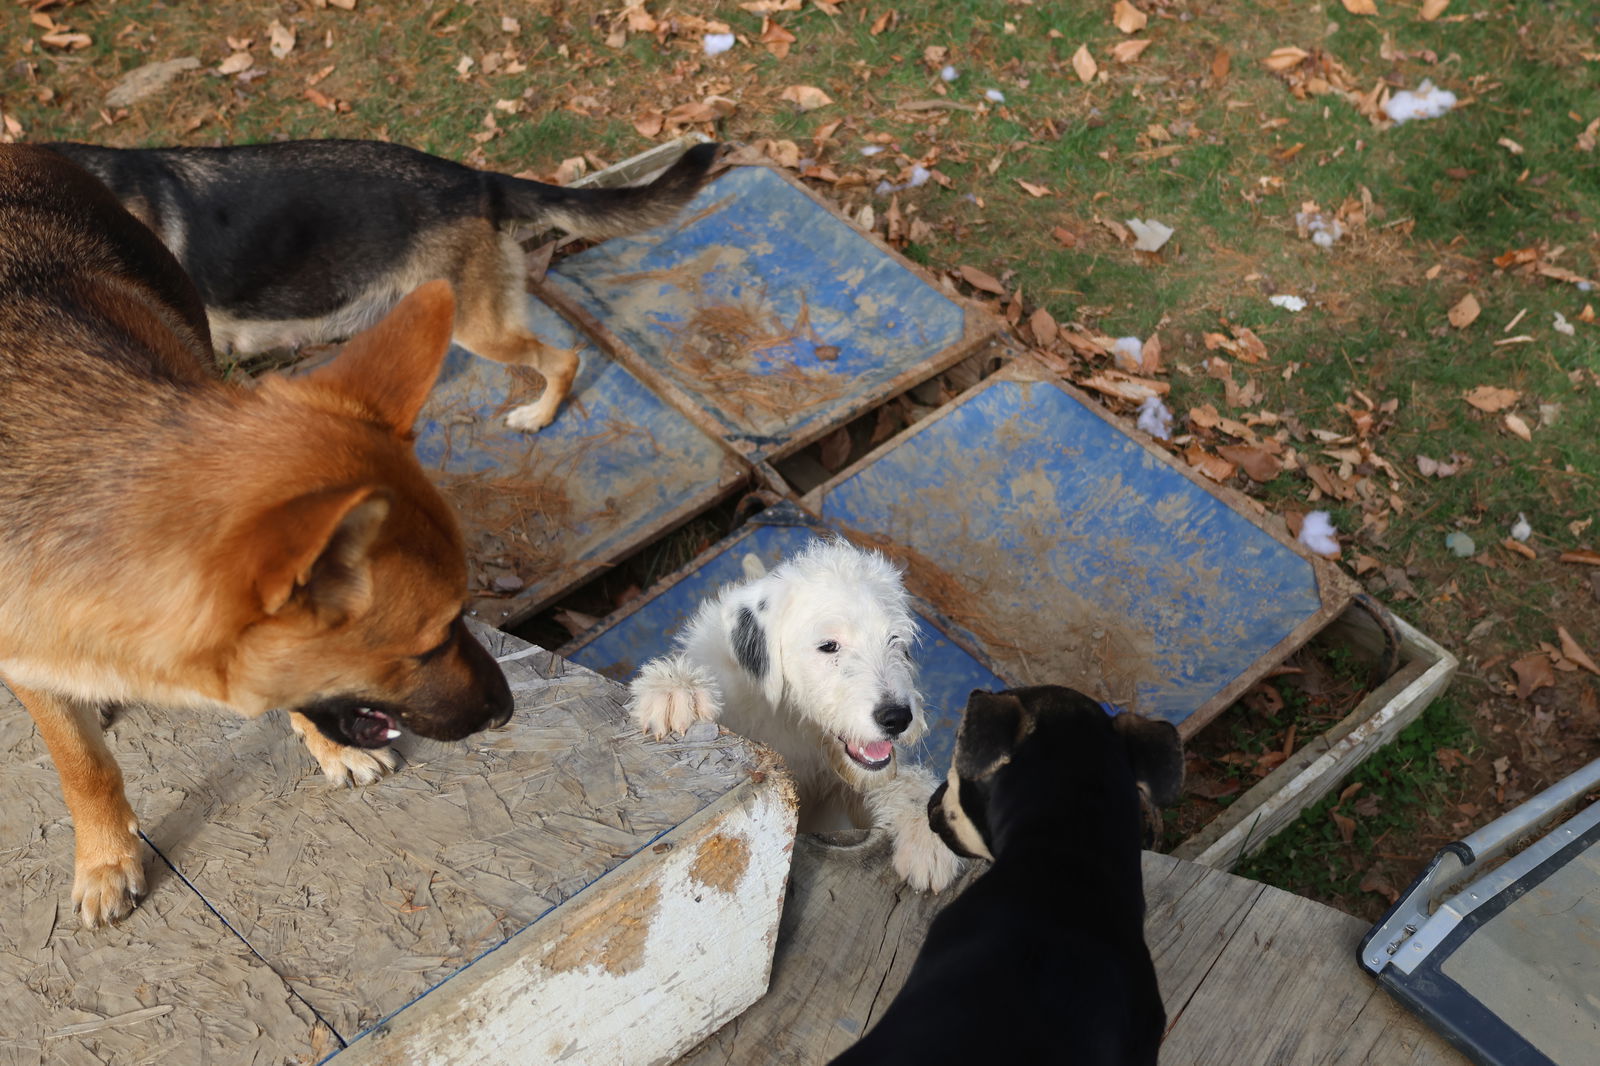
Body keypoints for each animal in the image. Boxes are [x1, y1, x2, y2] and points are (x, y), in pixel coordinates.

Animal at [1, 145, 512, 928]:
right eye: (428, 645)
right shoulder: (27, 655)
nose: (507, 711)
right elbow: (82, 766)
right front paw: (105, 857)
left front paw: (327, 747)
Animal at [630, 534, 960, 889]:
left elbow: (895, 781)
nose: (897, 718)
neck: (792, 721)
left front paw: (926, 827)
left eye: (896, 640)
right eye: (828, 646)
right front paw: (675, 686)